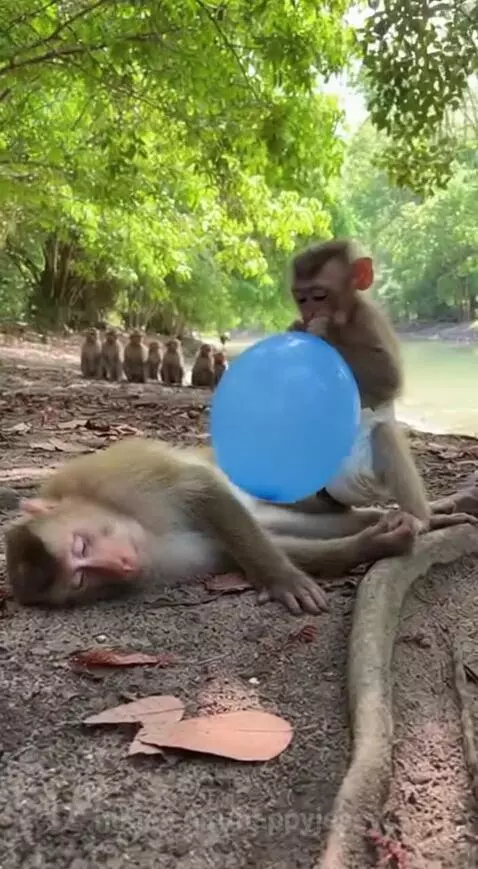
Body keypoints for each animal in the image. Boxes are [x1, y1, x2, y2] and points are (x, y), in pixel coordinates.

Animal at [4, 437, 425, 613]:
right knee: (273, 524)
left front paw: (282, 580)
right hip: (257, 509)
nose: (121, 565)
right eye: (79, 579)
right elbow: (225, 551)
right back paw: (375, 522)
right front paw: (374, 544)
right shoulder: (163, 559)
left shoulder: (118, 481)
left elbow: (200, 488)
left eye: (82, 546)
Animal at [288, 239, 474, 534]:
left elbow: (389, 378)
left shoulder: (370, 320)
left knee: (384, 435)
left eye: (319, 296)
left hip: (364, 477)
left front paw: (320, 332)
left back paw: (417, 516)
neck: (344, 320)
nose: (310, 313)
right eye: (301, 298)